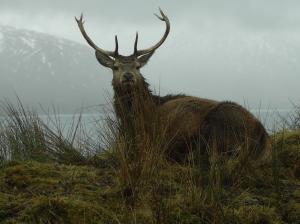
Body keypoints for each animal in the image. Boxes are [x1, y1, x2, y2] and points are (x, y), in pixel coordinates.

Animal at [75, 9, 272, 163]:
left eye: (138, 66)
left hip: (218, 124)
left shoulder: (151, 140)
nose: (128, 76)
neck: (134, 121)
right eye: (115, 67)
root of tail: (262, 135)